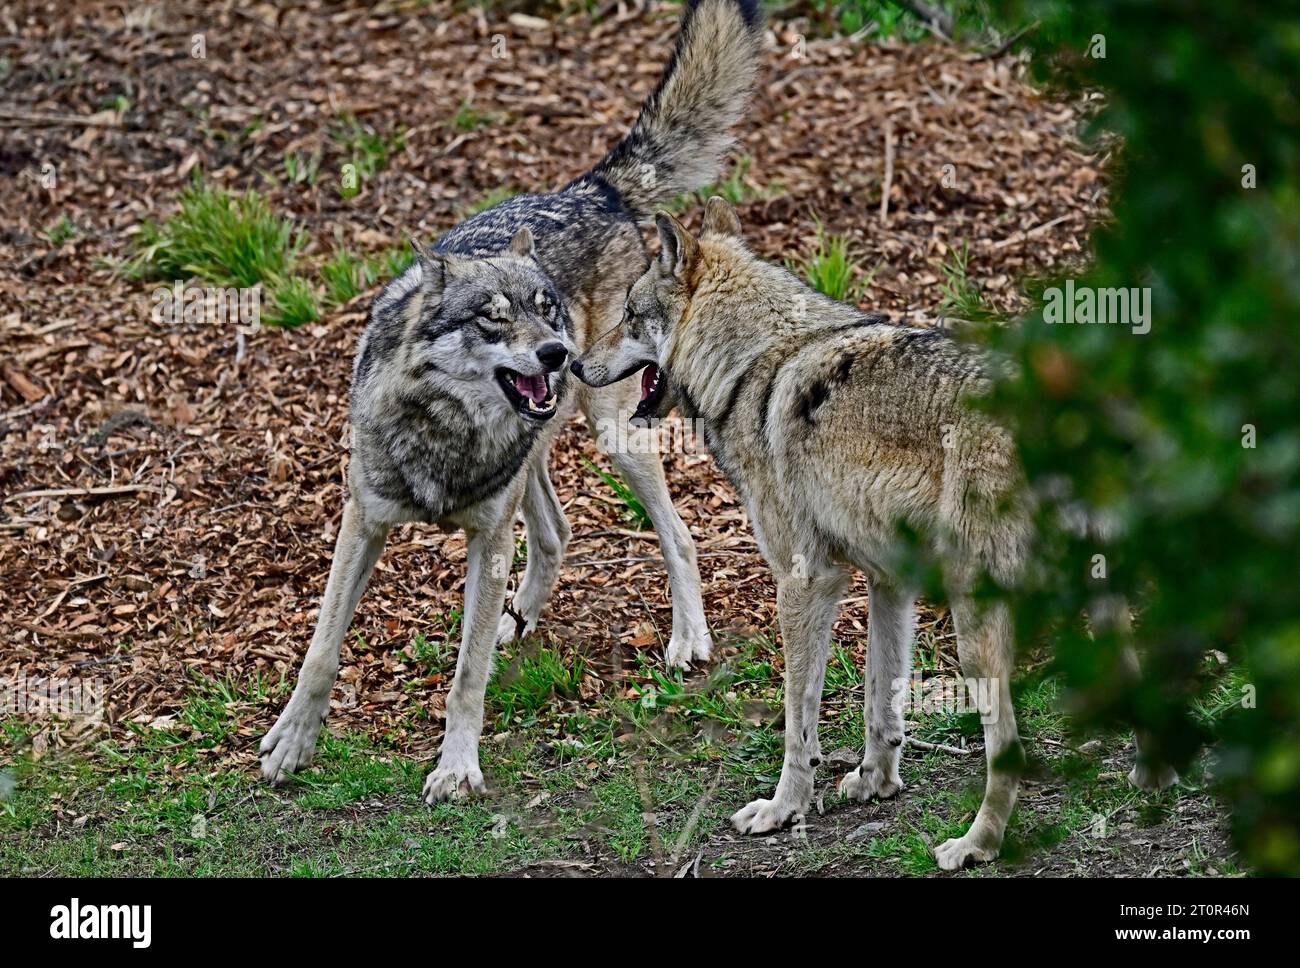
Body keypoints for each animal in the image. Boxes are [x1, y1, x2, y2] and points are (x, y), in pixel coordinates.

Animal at [261, 0, 759, 800]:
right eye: (493, 318)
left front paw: (457, 767)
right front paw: (291, 743)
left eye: (545, 307)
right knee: (557, 532)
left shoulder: (487, 535)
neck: (445, 435)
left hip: (615, 440)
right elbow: (321, 649)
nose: (559, 353)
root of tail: (589, 188)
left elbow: (466, 677)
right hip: (538, 460)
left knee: (677, 533)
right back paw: (516, 619)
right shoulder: (363, 523)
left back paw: (687, 638)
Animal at [572, 196, 1180, 867]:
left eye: (629, 314)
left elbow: (799, 720)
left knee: (1009, 747)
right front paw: (875, 782)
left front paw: (784, 809)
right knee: (1137, 682)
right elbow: (878, 698)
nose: (573, 362)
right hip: (1095, 597)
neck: (751, 362)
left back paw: (977, 844)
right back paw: (1154, 779)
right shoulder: (891, 581)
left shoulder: (806, 580)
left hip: (977, 619)